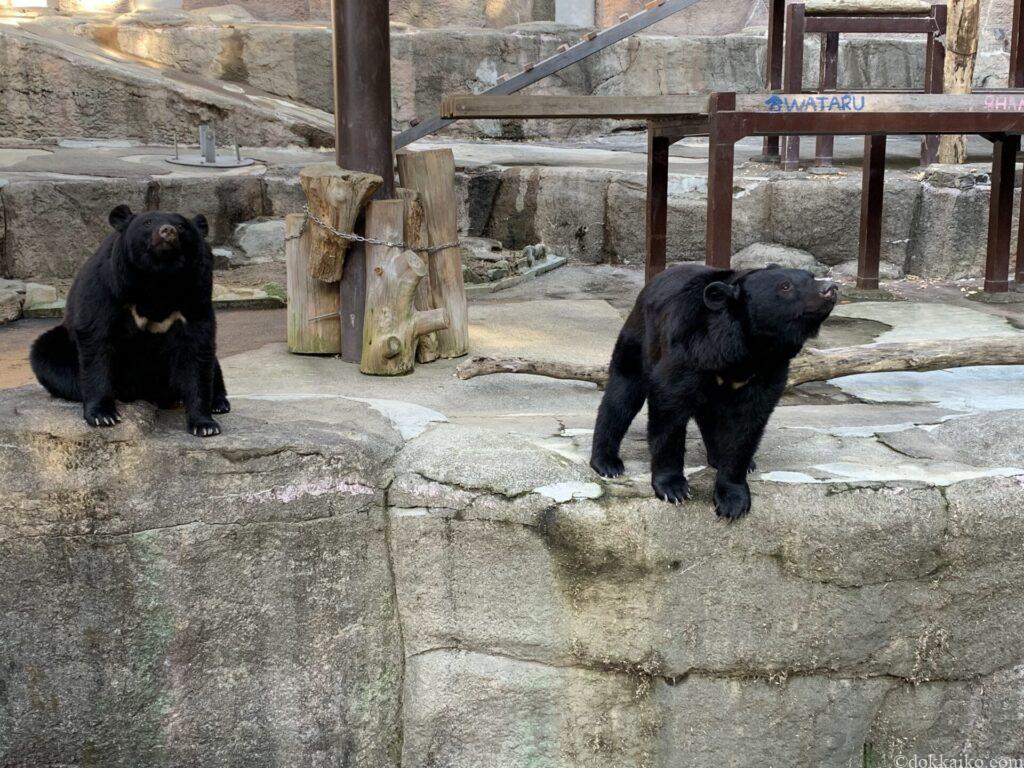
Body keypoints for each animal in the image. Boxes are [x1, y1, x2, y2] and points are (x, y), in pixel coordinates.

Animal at [31, 202, 230, 438]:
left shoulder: (195, 292)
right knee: (48, 356)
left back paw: (219, 403)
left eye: (181, 226)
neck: (159, 278)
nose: (168, 231)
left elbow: (197, 349)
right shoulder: (107, 286)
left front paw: (205, 425)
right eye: (148, 222)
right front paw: (103, 416)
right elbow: (96, 339)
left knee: (213, 362)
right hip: (62, 348)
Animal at [589, 264, 835, 524]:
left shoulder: (769, 372)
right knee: (622, 396)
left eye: (811, 277)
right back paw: (608, 464)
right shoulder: (689, 351)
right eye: (785, 286)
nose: (830, 287)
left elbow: (747, 425)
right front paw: (673, 489)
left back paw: (728, 459)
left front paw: (733, 500)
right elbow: (669, 408)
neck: (749, 350)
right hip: (639, 338)